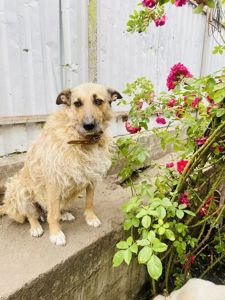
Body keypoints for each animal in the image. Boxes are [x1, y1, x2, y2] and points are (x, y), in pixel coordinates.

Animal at [0, 83, 121, 245]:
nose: (88, 125)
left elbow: (89, 201)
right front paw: (56, 234)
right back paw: (36, 227)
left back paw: (64, 214)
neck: (82, 140)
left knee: (53, 209)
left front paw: (91, 218)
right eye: (77, 103)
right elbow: (53, 214)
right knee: (32, 214)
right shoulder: (53, 182)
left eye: (98, 101)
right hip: (19, 188)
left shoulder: (91, 176)